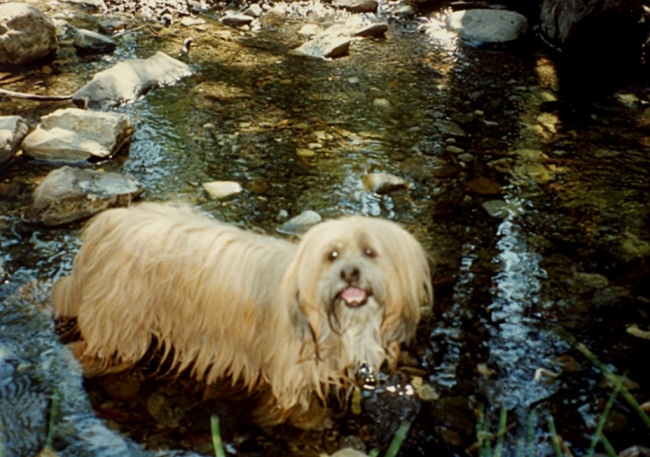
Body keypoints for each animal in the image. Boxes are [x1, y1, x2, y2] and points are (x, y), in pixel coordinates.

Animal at [53, 201, 432, 426]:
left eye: (370, 252)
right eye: (333, 255)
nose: (350, 273)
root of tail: (109, 222)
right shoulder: (290, 376)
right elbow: (295, 408)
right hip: (120, 316)